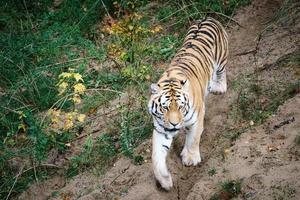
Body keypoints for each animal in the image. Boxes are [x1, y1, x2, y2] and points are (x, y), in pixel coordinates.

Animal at [149, 16, 229, 190]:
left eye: (180, 107)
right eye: (164, 108)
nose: (174, 124)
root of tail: (206, 17)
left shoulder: (196, 119)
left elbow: (193, 139)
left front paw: (191, 159)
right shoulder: (161, 129)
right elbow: (156, 156)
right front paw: (165, 180)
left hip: (221, 58)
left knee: (221, 71)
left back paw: (219, 87)